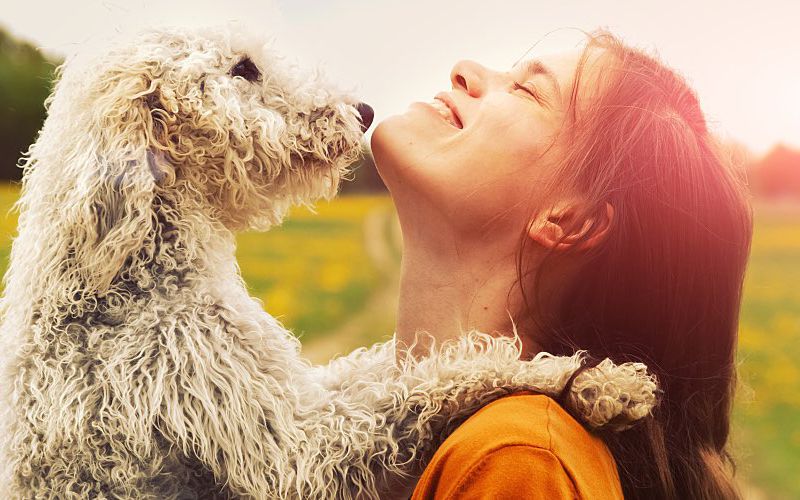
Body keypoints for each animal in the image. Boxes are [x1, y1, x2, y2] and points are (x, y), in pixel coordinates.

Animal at [0, 27, 656, 500]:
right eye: (243, 69)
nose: (362, 110)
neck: (126, 274)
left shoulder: (291, 389)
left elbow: (396, 367)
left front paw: (592, 381)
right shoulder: (290, 447)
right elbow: (432, 380)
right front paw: (588, 379)